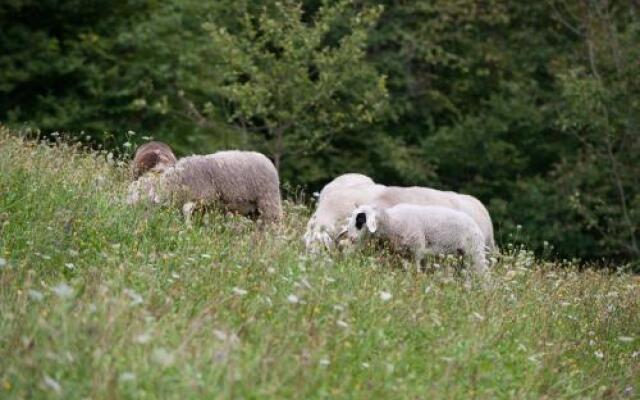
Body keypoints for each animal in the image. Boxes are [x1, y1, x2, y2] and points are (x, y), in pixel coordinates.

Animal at [126, 151, 282, 223]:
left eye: (142, 204)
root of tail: (267, 160)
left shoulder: (202, 196)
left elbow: (186, 210)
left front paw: (188, 227)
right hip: (253, 210)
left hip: (268, 202)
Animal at [340, 205, 484, 274]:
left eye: (360, 220)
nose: (351, 238)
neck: (392, 222)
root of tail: (475, 225)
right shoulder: (402, 255)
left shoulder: (417, 250)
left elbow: (416, 270)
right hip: (458, 258)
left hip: (474, 254)